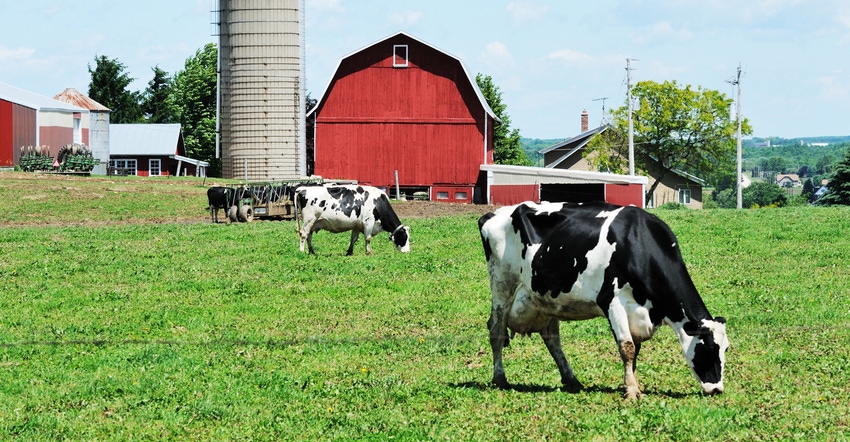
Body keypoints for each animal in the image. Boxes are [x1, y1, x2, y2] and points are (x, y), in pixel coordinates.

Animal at [476, 202, 728, 398]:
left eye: (726, 348)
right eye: (708, 347)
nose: (717, 389)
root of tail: (493, 214)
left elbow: (635, 349)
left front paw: (634, 384)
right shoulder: (612, 300)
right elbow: (627, 347)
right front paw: (632, 391)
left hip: (546, 298)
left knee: (552, 339)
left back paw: (571, 379)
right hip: (502, 286)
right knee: (496, 330)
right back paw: (500, 379)